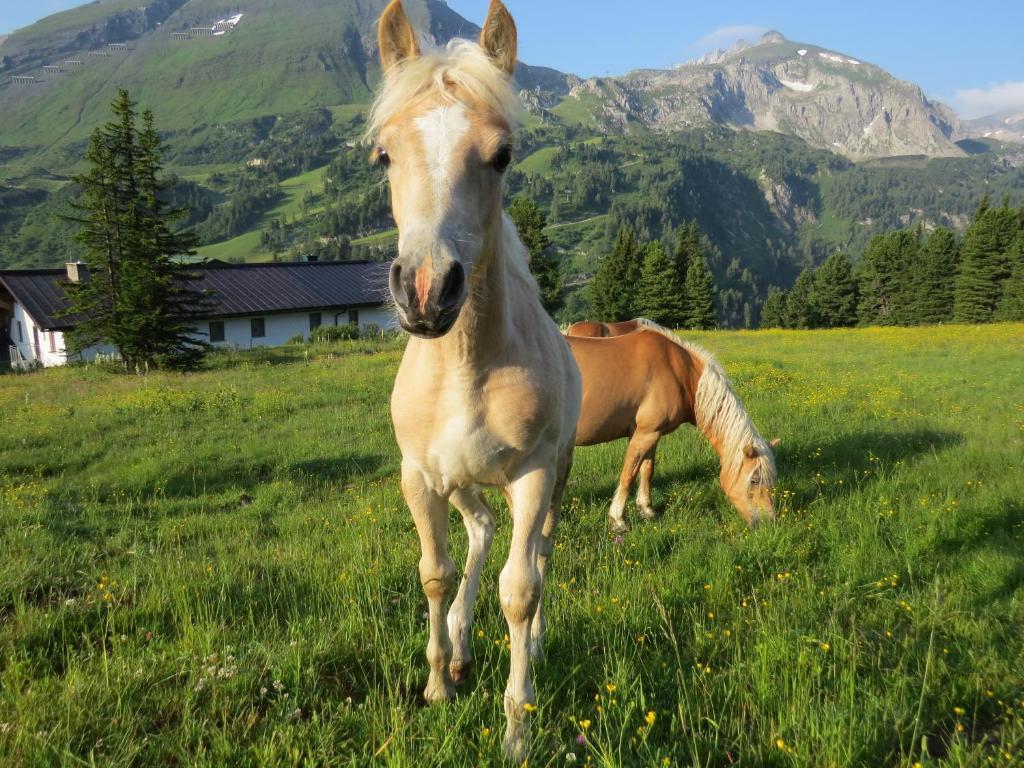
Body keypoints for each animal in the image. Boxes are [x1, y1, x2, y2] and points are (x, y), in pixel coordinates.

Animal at [374, 0, 585, 757]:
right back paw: (462, 648)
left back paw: (537, 645)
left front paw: (516, 730)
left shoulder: (532, 474)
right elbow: (435, 574)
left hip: (555, 473)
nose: (427, 290)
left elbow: (520, 590)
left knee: (537, 553)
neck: (465, 365)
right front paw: (439, 681)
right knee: (480, 533)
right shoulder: (418, 476)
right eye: (384, 154)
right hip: (461, 482)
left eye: (501, 155)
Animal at [561, 319, 774, 528]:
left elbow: (647, 469)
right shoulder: (646, 433)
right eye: (755, 480)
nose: (768, 521)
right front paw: (618, 519)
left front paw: (646, 509)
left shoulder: (649, 434)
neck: (678, 371)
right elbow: (628, 475)